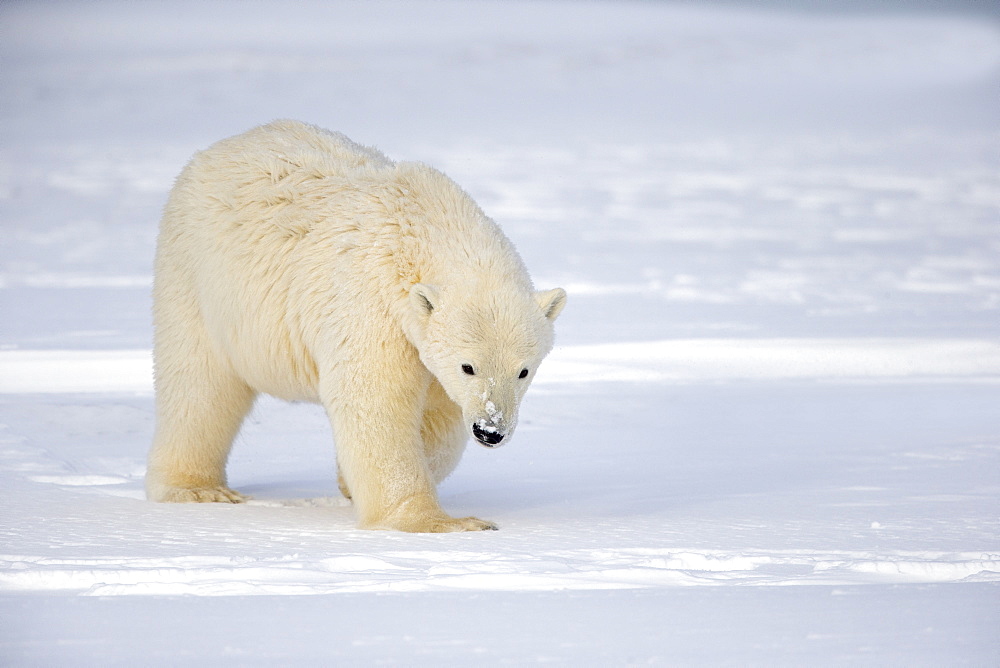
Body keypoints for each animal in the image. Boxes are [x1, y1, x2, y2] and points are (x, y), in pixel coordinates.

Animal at [149, 121, 572, 532]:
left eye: (524, 371)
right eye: (468, 366)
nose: (490, 430)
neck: (421, 226)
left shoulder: (424, 342)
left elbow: (439, 415)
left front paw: (348, 481)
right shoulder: (372, 304)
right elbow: (376, 400)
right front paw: (441, 522)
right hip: (197, 274)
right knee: (201, 382)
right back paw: (199, 490)